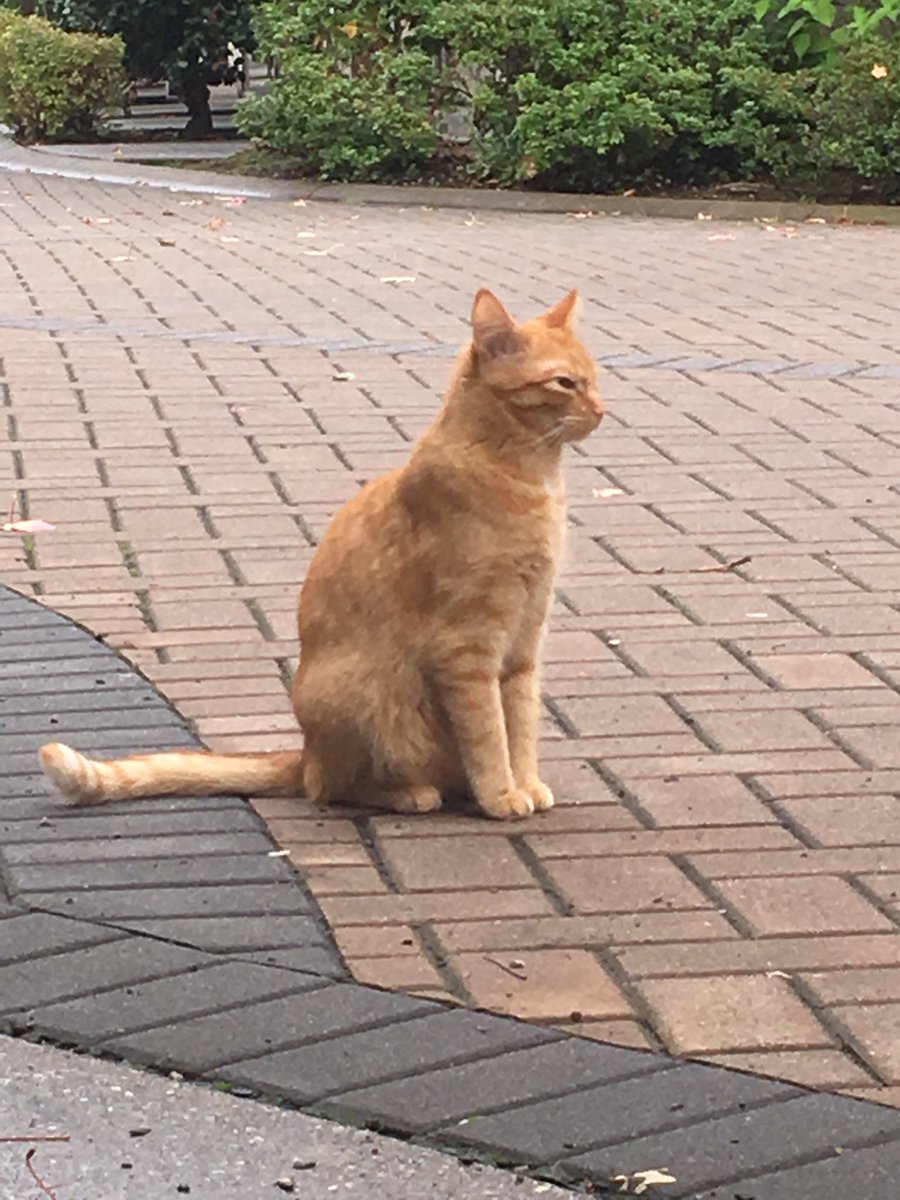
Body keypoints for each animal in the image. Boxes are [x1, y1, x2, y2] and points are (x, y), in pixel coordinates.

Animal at [40, 285, 607, 820]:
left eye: (595, 378)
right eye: (564, 383)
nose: (603, 411)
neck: (529, 475)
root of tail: (304, 751)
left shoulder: (524, 644)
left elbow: (521, 726)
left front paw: (525, 783)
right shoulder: (468, 648)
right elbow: (489, 733)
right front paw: (501, 794)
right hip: (370, 694)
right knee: (331, 788)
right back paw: (410, 794)